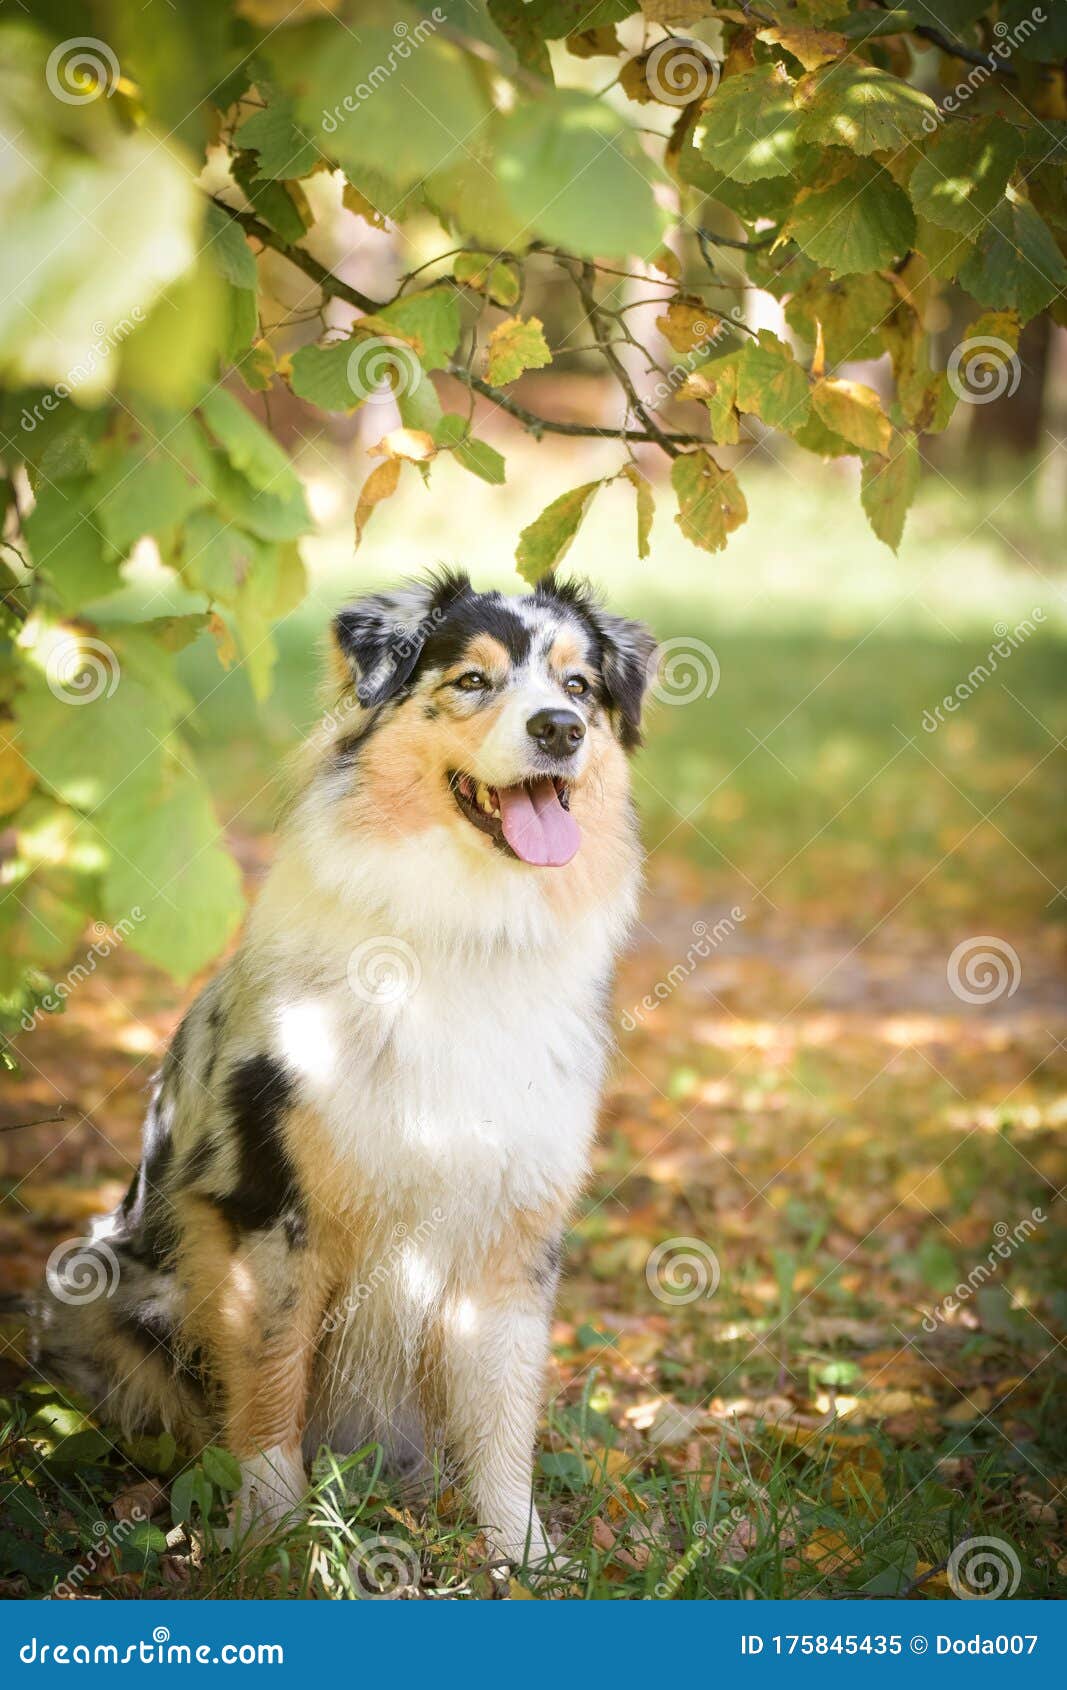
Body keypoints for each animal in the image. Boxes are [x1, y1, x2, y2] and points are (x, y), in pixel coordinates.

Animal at [29, 571, 656, 1568]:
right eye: (472, 681)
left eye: (580, 688)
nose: (561, 729)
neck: (465, 931)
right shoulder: (269, 1210)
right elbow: (270, 1387)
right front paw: (274, 1540)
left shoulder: (513, 1229)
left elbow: (503, 1413)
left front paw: (523, 1557)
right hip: (91, 1280)